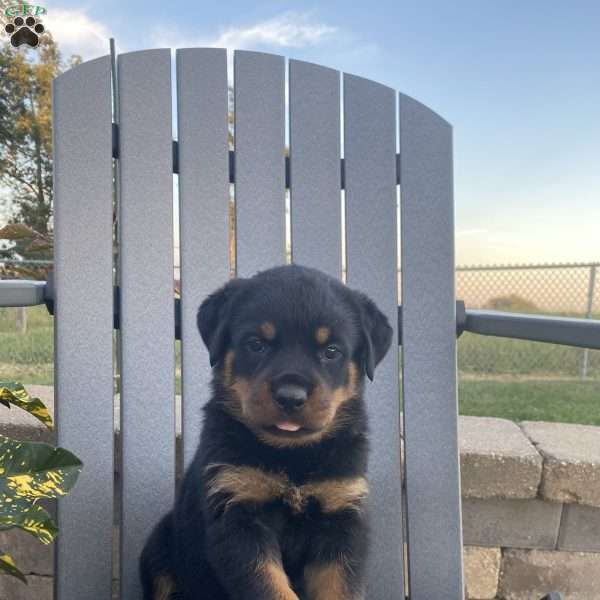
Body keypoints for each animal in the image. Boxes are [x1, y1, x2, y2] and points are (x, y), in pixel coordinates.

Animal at [140, 264, 394, 596]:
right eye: (256, 344)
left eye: (331, 351)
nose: (290, 396)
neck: (292, 457)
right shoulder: (238, 516)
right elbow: (271, 588)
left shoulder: (340, 518)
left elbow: (339, 589)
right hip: (160, 550)